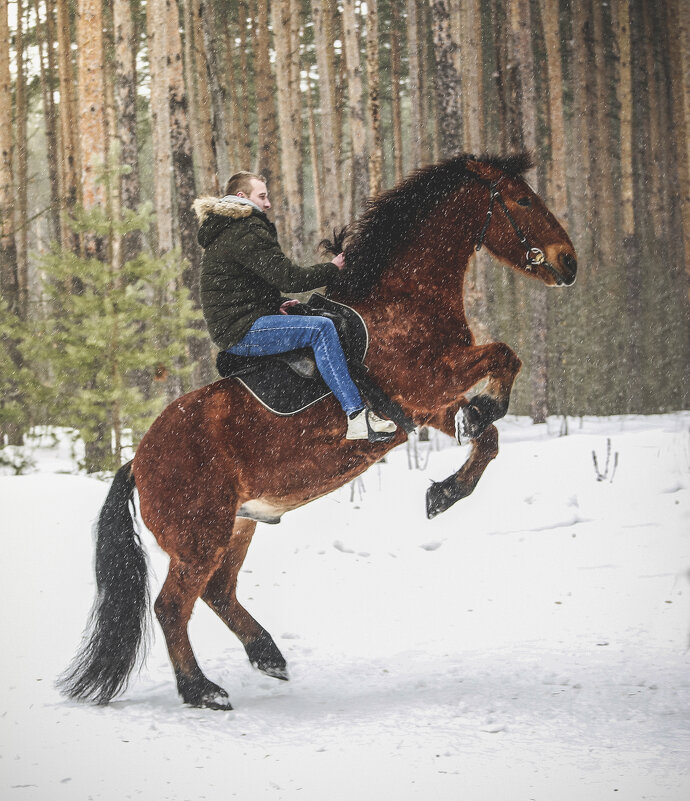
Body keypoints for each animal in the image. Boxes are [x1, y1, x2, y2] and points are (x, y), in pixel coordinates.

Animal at [59, 153, 576, 708]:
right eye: (522, 199)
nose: (569, 262)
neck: (404, 299)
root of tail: (137, 461)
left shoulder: (423, 407)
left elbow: (488, 436)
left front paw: (446, 488)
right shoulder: (429, 379)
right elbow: (504, 355)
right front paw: (487, 409)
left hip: (236, 526)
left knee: (219, 592)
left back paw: (267, 655)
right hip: (200, 537)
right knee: (173, 605)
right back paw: (203, 690)